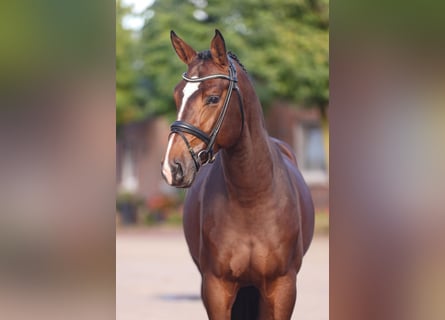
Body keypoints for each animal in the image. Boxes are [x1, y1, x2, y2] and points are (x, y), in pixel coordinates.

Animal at [161, 29, 314, 318]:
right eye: (177, 96)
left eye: (213, 97)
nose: (172, 168)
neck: (251, 198)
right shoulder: (216, 288)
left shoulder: (282, 288)